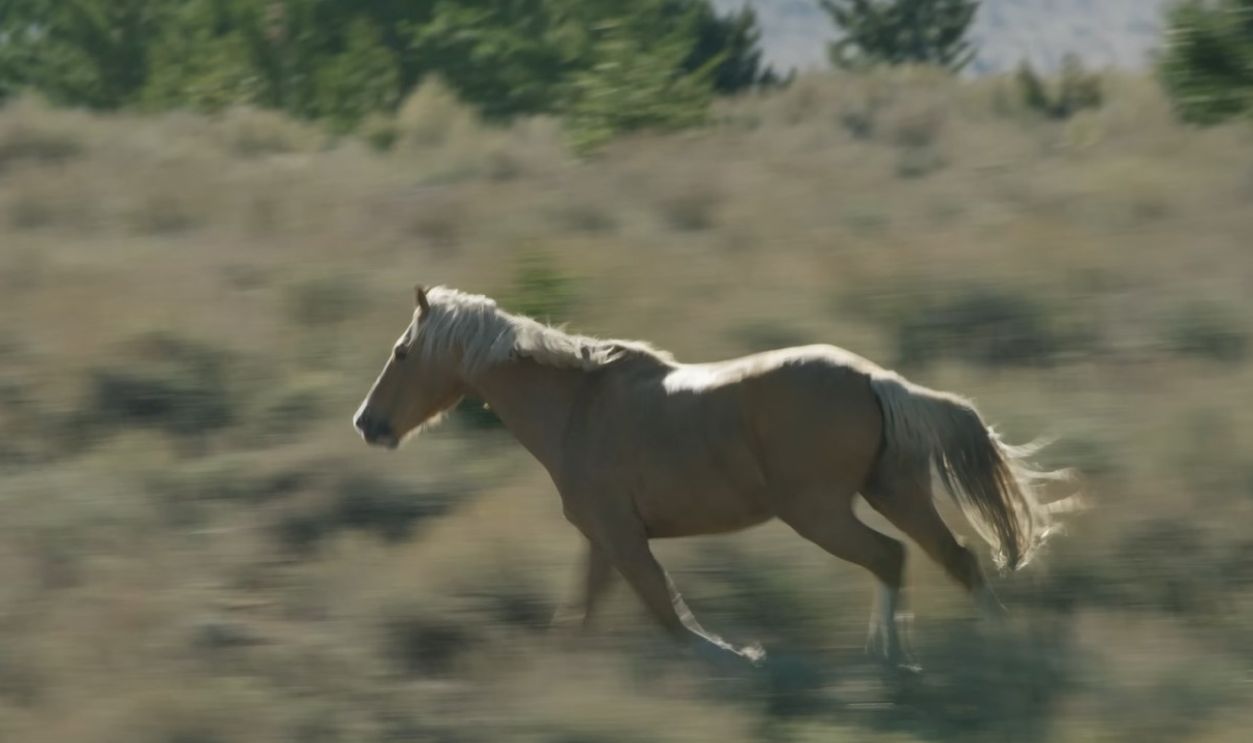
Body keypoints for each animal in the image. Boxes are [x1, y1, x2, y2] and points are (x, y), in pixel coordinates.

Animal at [353, 285, 1076, 669]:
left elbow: (671, 619)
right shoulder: (602, 540)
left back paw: (895, 661)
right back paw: (993, 652)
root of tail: (875, 379)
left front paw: (744, 658)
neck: (577, 406)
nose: (367, 423)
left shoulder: (622, 537)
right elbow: (578, 620)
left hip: (819, 512)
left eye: (402, 352)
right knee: (955, 559)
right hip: (892, 490)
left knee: (891, 557)